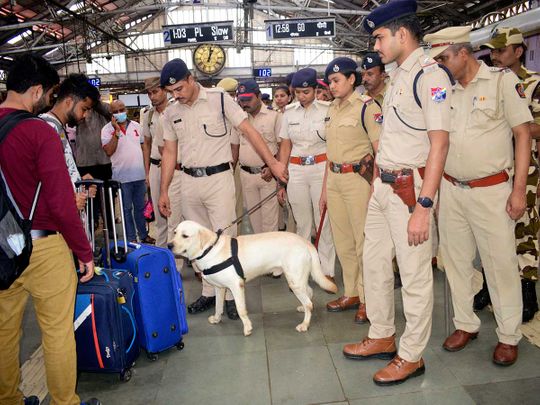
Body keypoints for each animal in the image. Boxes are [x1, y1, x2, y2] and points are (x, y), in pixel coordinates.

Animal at [173, 221, 336, 334]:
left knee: (309, 303)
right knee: (309, 294)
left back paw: (304, 325)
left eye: (185, 236)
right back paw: (303, 309)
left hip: (294, 280)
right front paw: (217, 319)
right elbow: (218, 306)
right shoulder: (219, 288)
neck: (209, 249)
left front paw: (247, 327)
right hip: (297, 279)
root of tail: (306, 242)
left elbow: (241, 309)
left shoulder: (236, 286)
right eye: (174, 232)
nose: (169, 245)